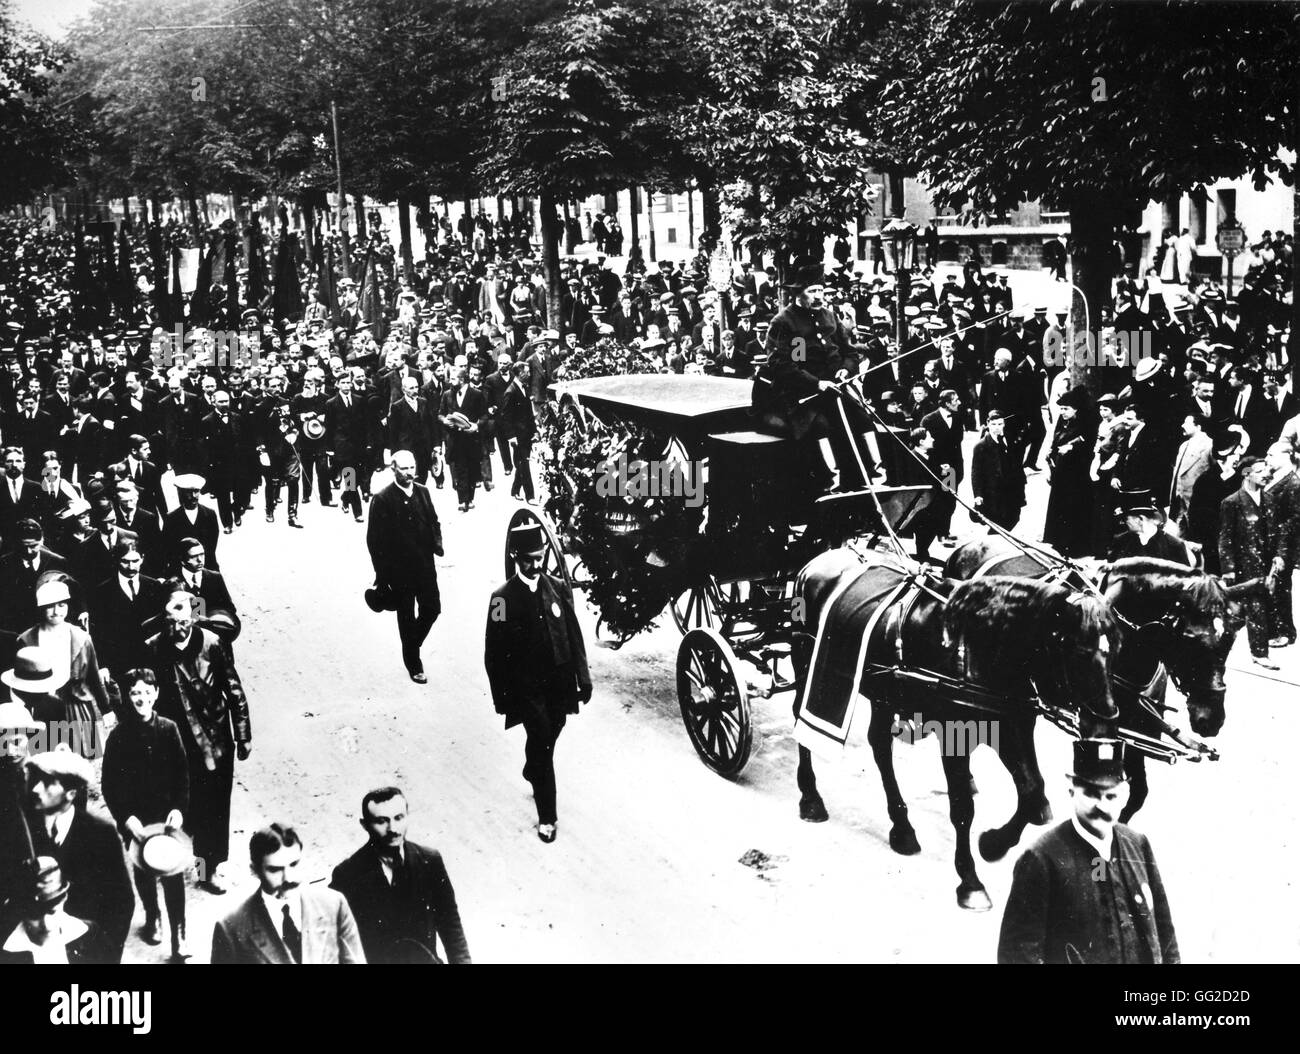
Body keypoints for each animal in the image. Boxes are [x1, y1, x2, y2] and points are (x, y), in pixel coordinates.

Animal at [790, 548, 1118, 909]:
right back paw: (811, 797)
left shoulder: (1012, 726)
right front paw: (970, 880)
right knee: (800, 721)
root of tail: (818, 560)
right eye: (1078, 651)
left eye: (1113, 650)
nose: (1106, 725)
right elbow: (963, 807)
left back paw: (902, 827)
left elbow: (1034, 796)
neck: (974, 648)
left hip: (884, 690)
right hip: (805, 663)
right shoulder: (954, 735)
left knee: (880, 746)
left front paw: (993, 844)